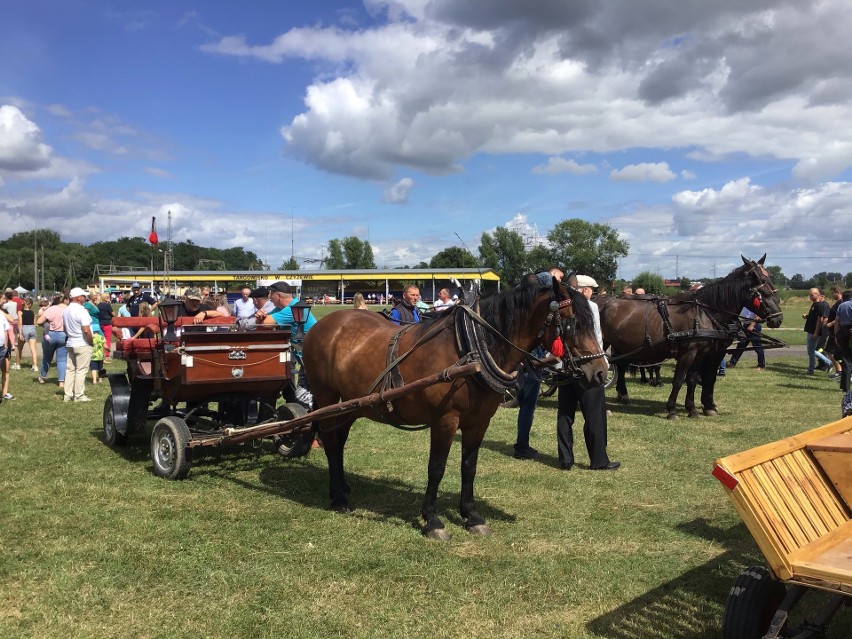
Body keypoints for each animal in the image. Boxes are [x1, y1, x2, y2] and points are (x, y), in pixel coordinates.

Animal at [302, 276, 608, 540]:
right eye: (572, 324)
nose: (600, 373)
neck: (472, 348)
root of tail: (322, 325)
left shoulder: (479, 421)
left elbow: (469, 466)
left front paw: (472, 516)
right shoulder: (445, 420)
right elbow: (436, 468)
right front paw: (432, 520)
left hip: (349, 404)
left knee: (339, 441)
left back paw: (341, 487)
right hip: (327, 397)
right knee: (331, 441)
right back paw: (339, 498)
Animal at [596, 255, 784, 420]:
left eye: (771, 282)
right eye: (764, 289)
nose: (778, 318)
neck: (705, 313)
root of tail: (601, 301)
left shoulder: (705, 352)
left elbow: (697, 378)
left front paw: (697, 408)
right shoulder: (689, 352)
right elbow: (680, 380)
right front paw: (673, 410)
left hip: (622, 345)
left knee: (620, 366)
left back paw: (623, 395)